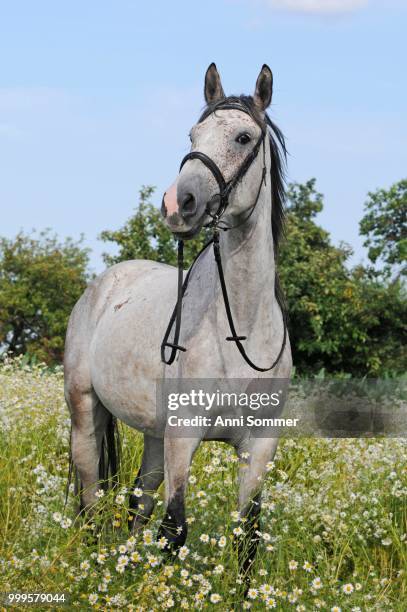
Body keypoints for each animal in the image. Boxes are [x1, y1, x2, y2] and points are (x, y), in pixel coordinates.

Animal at [64, 62, 294, 572]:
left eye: (244, 138)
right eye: (193, 133)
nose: (178, 204)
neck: (240, 330)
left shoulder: (259, 446)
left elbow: (247, 538)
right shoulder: (184, 436)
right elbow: (175, 531)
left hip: (153, 434)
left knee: (138, 500)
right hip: (87, 414)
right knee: (91, 498)